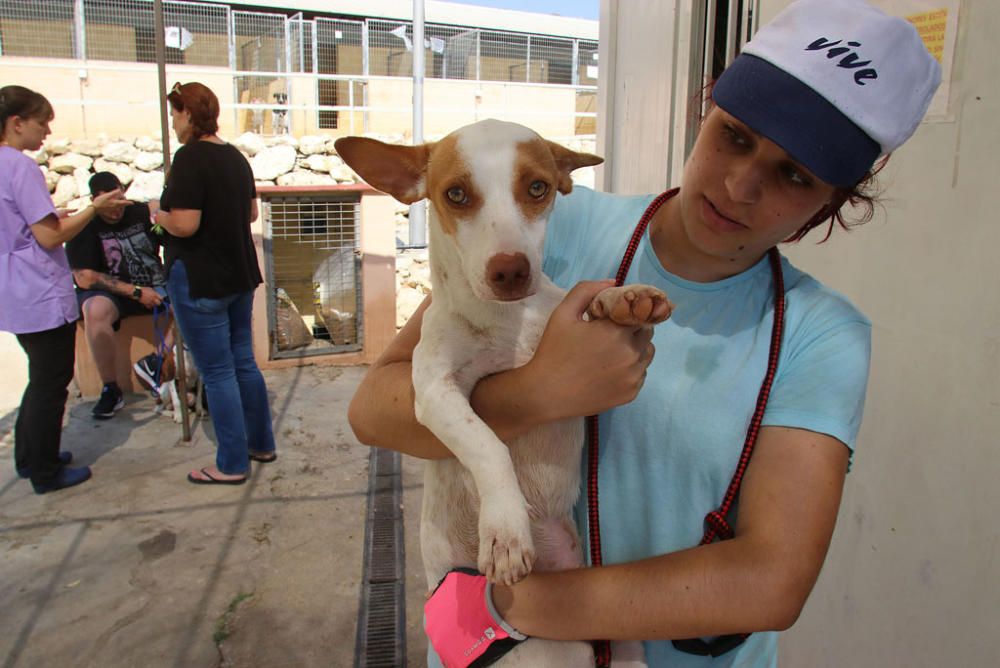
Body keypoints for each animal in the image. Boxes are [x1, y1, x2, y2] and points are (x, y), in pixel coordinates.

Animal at [336, 118, 672, 664]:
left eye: (537, 188)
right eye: (455, 194)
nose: (511, 270)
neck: (508, 322)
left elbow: (587, 297)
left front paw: (622, 296)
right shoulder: (433, 393)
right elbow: (487, 445)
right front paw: (506, 529)